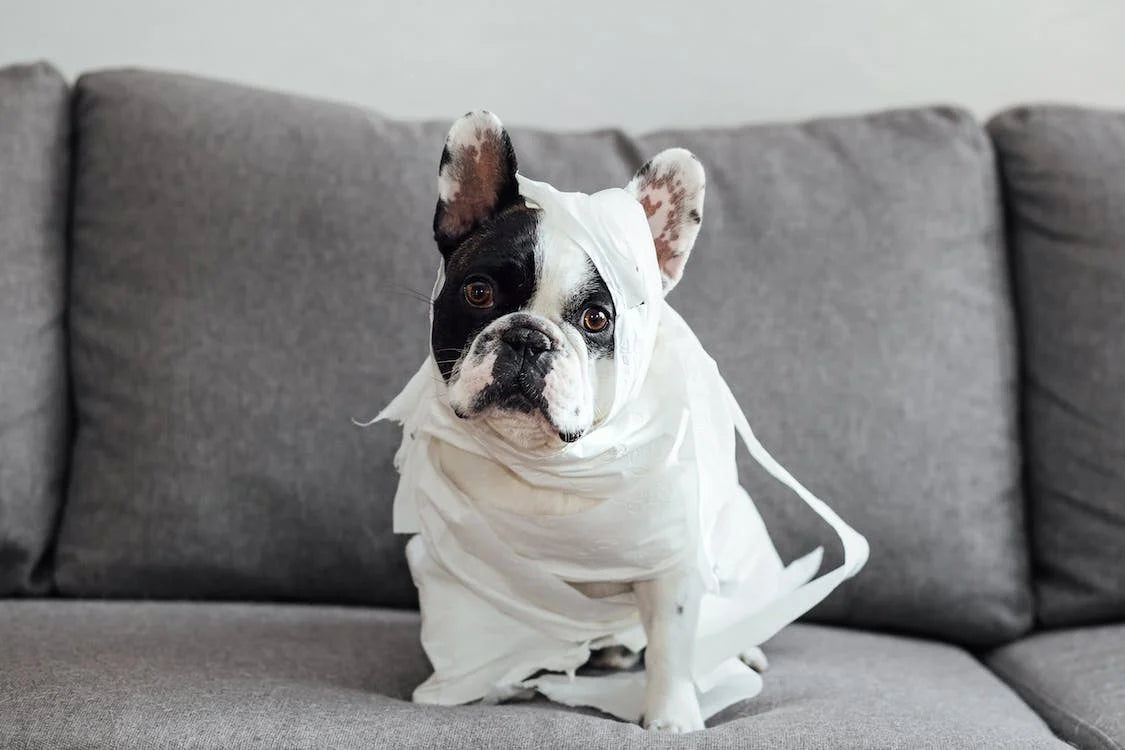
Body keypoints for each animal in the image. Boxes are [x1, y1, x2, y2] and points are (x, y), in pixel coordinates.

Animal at [423, 111, 765, 733]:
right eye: (478, 292)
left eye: (597, 319)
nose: (528, 338)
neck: (552, 466)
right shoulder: (457, 558)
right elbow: (469, 632)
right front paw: (459, 687)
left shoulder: (672, 565)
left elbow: (672, 642)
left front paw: (672, 716)